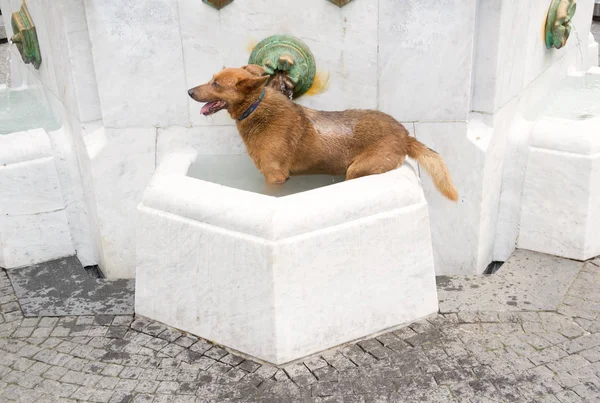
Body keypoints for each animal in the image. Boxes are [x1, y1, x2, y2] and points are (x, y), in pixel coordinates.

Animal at [189, 66, 460, 202]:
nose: (189, 91)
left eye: (215, 84)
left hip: (357, 170)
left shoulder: (275, 177)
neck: (256, 107)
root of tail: (404, 133)